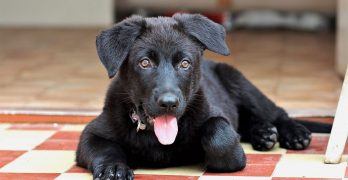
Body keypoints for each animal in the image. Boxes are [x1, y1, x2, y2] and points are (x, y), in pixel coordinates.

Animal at [77, 14, 312, 180]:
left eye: (185, 63)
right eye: (145, 63)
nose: (169, 104)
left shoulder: (216, 116)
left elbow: (220, 135)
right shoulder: (91, 133)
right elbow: (104, 147)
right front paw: (114, 167)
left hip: (240, 84)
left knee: (276, 113)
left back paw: (293, 133)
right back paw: (264, 133)